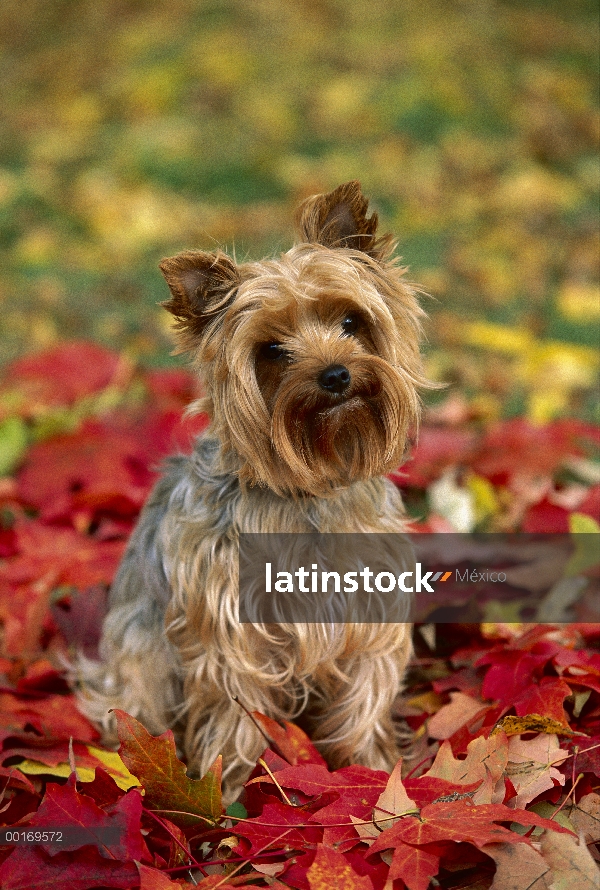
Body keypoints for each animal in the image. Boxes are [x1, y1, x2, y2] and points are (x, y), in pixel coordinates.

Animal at [77, 179, 428, 796]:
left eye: (350, 323)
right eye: (272, 350)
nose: (335, 374)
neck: (309, 491)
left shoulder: (370, 611)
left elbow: (365, 694)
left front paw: (373, 774)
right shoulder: (229, 624)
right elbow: (236, 709)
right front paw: (237, 787)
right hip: (138, 653)